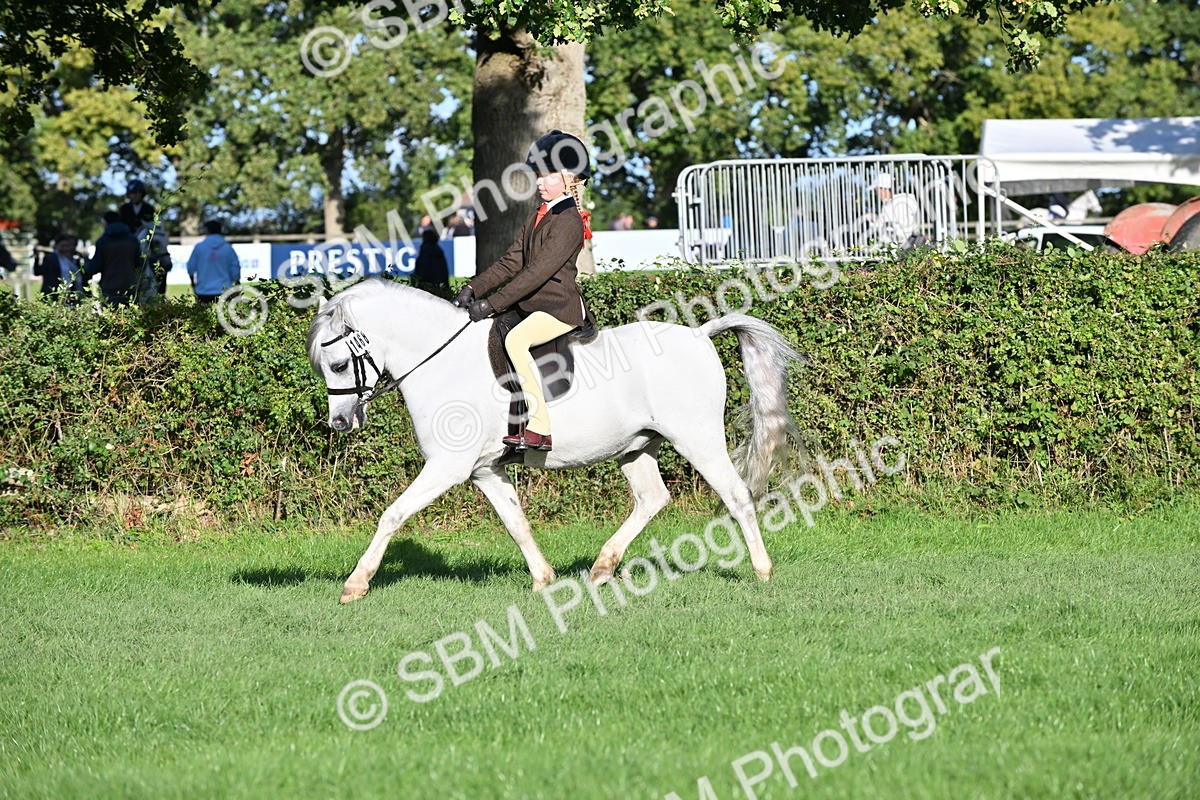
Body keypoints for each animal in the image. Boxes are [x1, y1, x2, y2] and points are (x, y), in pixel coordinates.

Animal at [307, 279, 803, 603]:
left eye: (337, 365)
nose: (340, 422)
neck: (442, 361)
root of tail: (700, 333)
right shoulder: (485, 470)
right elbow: (516, 523)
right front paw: (543, 579)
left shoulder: (447, 466)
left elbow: (392, 514)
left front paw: (355, 584)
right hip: (637, 446)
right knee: (652, 498)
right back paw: (602, 568)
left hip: (697, 438)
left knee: (737, 495)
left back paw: (762, 571)